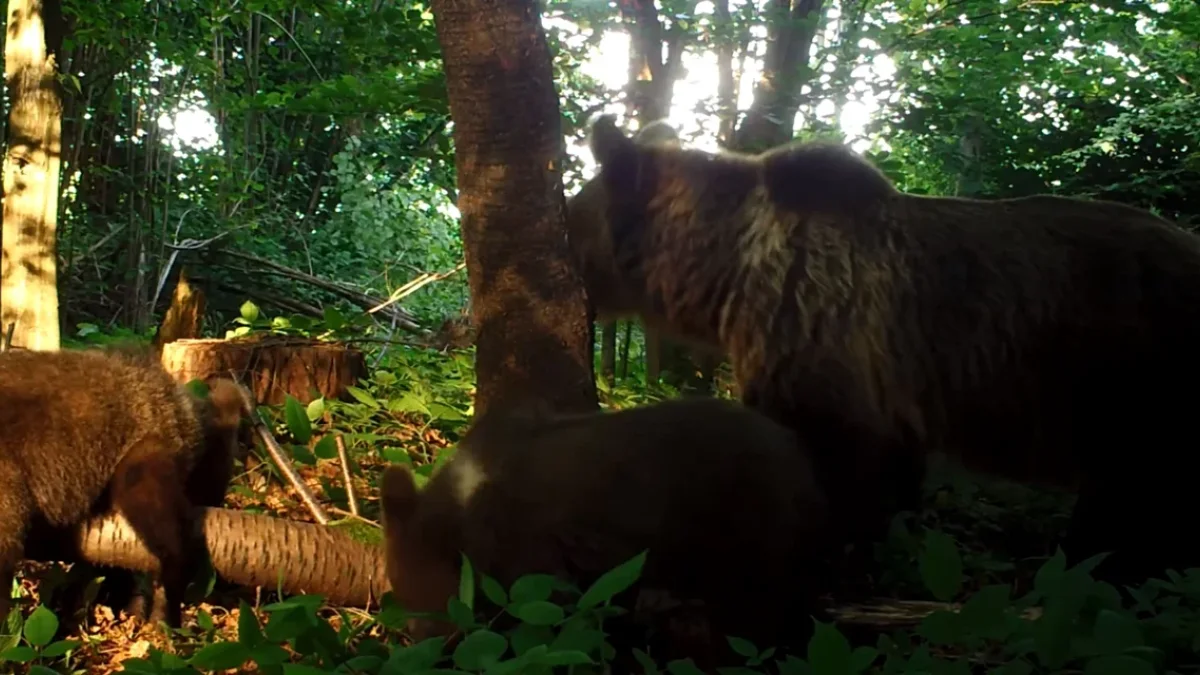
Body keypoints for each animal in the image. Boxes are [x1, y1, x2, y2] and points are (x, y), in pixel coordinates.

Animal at [379, 396, 830, 662]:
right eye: (399, 592)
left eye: (426, 605)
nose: (423, 645)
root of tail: (803, 460)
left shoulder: (531, 558)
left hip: (758, 536)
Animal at [566, 112, 1200, 586]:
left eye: (572, 216)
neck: (730, 271)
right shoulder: (888, 384)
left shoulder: (821, 332)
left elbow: (839, 468)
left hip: (1134, 374)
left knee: (1136, 498)